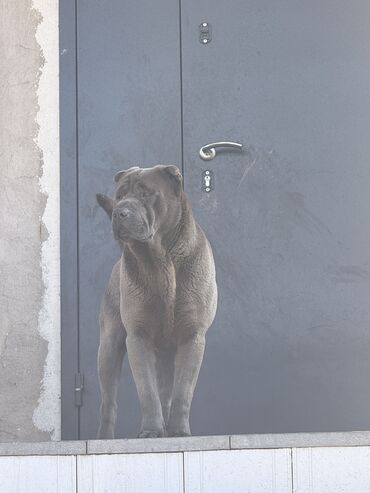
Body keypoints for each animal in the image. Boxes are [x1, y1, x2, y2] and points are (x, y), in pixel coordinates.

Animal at [96, 165, 217, 438]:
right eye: (120, 195)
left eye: (146, 193)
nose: (120, 212)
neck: (160, 260)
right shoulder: (137, 336)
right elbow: (147, 391)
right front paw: (151, 430)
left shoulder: (192, 336)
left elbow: (182, 392)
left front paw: (180, 432)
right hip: (109, 344)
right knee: (109, 401)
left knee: (168, 394)